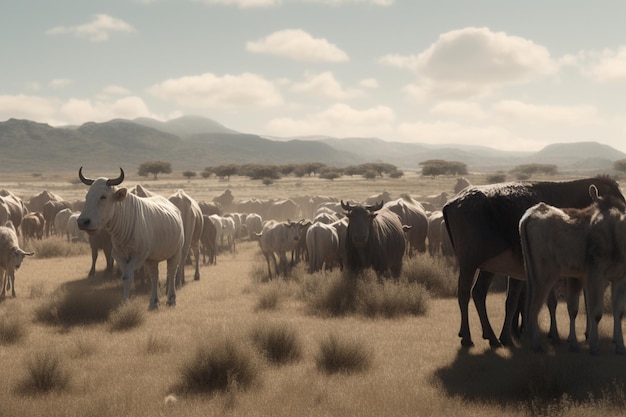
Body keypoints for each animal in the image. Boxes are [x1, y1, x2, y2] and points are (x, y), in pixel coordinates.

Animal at [76, 167, 183, 308]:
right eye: (87, 196)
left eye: (103, 196)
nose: (82, 222)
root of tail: (175, 209)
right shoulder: (119, 256)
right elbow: (124, 277)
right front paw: (125, 301)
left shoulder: (138, 256)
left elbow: (128, 277)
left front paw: (125, 302)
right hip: (152, 259)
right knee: (154, 276)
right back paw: (153, 302)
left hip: (175, 254)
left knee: (171, 272)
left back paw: (171, 299)